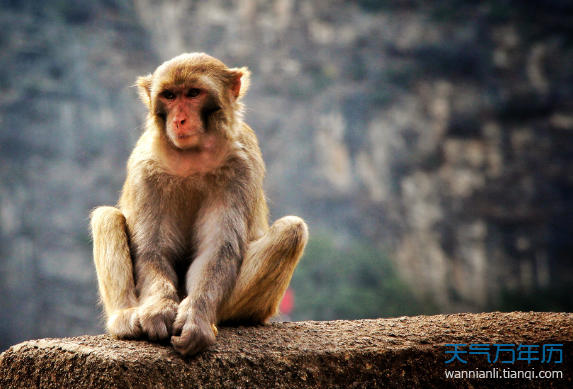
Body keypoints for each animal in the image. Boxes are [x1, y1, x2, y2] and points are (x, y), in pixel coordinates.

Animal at [91, 53, 308, 356]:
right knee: (106, 217)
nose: (180, 119)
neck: (192, 155)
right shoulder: (145, 166)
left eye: (193, 93)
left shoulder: (241, 165)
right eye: (170, 95)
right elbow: (152, 249)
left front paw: (196, 318)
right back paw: (126, 319)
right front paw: (158, 309)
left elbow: (216, 250)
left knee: (292, 229)